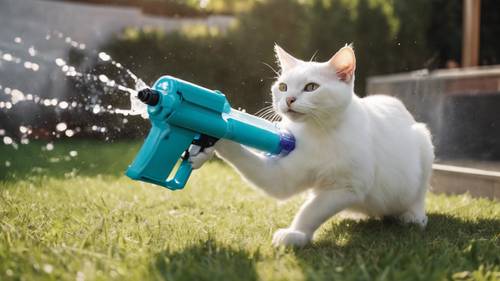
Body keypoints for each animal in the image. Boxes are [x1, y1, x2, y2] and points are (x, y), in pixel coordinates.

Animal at [188, 43, 434, 245]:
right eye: (283, 87)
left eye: (311, 87)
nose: (289, 100)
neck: (317, 133)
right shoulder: (283, 176)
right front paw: (207, 142)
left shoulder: (348, 186)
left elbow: (312, 210)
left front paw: (296, 234)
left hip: (424, 142)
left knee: (418, 195)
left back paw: (414, 217)